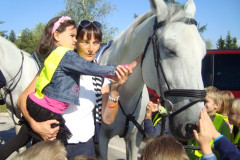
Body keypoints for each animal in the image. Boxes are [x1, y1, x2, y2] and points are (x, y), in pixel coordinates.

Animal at [99, 0, 206, 159]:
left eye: (203, 53)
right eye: (169, 50)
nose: (193, 124)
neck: (124, 93)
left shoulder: (134, 139)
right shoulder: (102, 139)